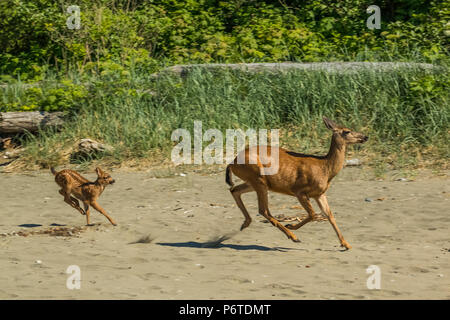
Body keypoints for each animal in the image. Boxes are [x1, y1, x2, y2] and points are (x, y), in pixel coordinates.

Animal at [227, 117, 368, 250]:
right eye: (347, 131)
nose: (365, 137)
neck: (325, 168)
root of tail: (232, 163)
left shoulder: (320, 194)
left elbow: (330, 215)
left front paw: (346, 244)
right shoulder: (299, 190)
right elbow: (313, 214)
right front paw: (291, 225)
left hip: (253, 182)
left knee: (234, 190)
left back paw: (245, 224)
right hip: (258, 178)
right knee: (263, 210)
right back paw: (293, 236)